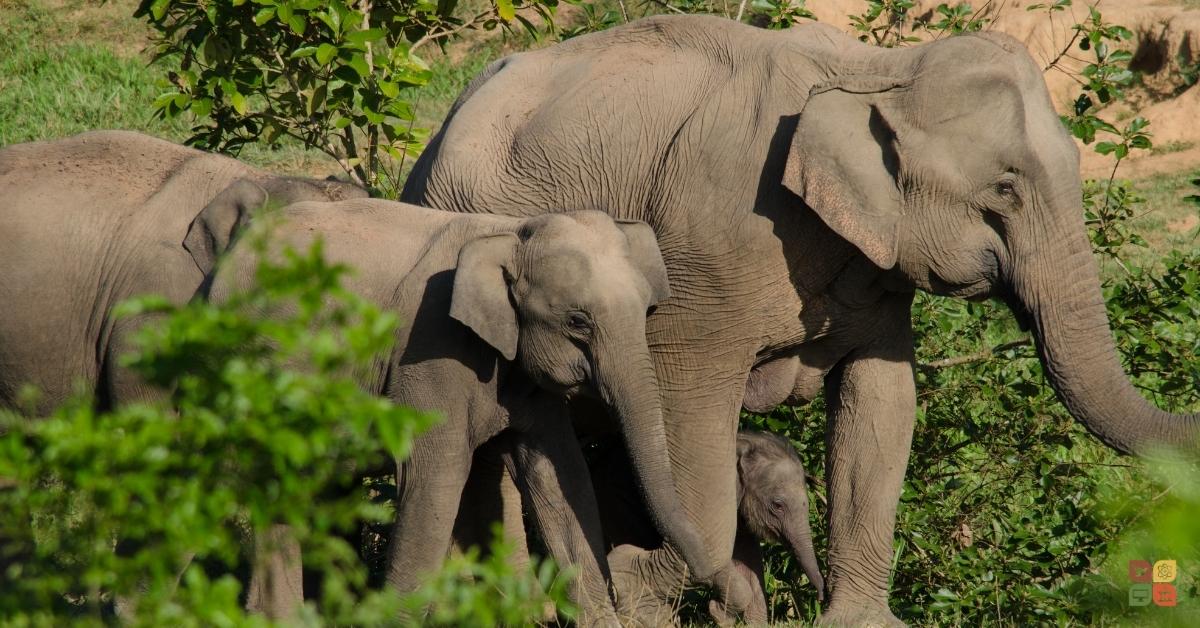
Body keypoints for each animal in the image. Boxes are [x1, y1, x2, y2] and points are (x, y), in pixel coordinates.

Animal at [207, 199, 709, 624]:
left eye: (647, 311)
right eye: (577, 321)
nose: (706, 572)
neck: (510, 231)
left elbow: (560, 477)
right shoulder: (430, 351)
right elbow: (436, 476)